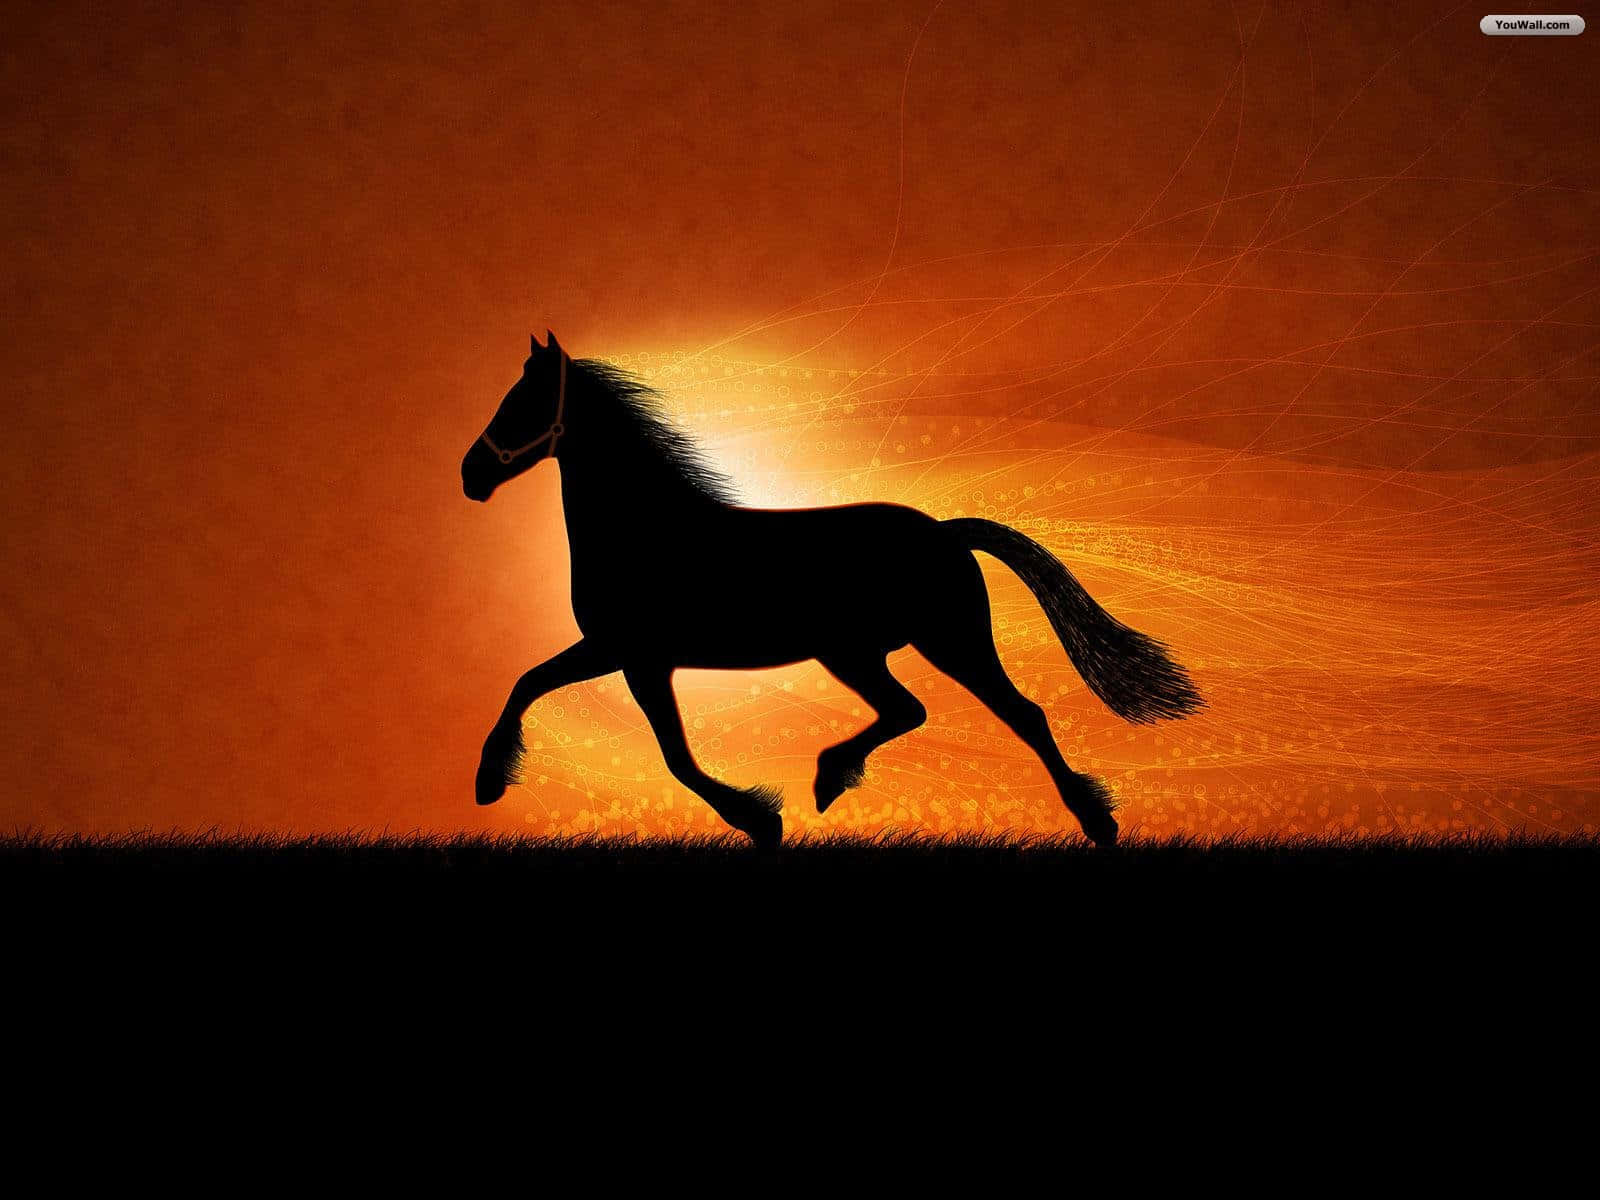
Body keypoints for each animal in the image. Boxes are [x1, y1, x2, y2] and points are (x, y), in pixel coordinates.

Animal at [462, 332, 1204, 848]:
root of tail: (944, 532)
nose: (471, 475)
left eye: (522, 403)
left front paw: (759, 819)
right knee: (911, 711)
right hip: (859, 653)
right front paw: (490, 781)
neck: (646, 528)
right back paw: (831, 777)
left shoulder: (634, 655)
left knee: (1019, 715)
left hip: (942, 643)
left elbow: (670, 754)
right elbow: (531, 684)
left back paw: (1095, 823)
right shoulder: (621, 653)